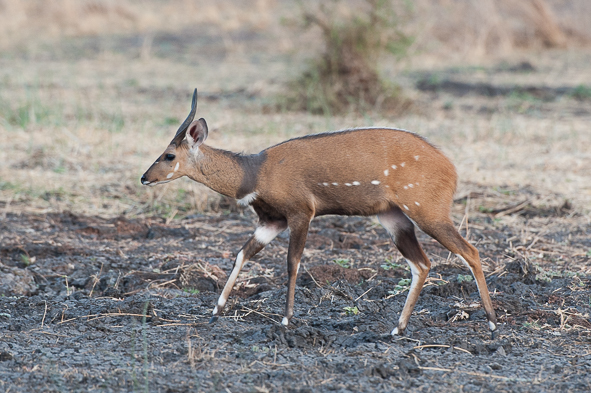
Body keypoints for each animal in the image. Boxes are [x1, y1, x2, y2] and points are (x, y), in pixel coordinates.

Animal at [143, 89, 500, 336]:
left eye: (169, 155)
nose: (145, 177)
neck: (253, 172)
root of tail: (451, 168)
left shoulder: (302, 212)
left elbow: (292, 263)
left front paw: (286, 320)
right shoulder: (271, 220)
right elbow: (242, 254)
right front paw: (216, 310)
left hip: (428, 212)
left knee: (470, 251)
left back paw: (493, 323)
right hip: (394, 218)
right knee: (422, 264)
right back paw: (397, 329)